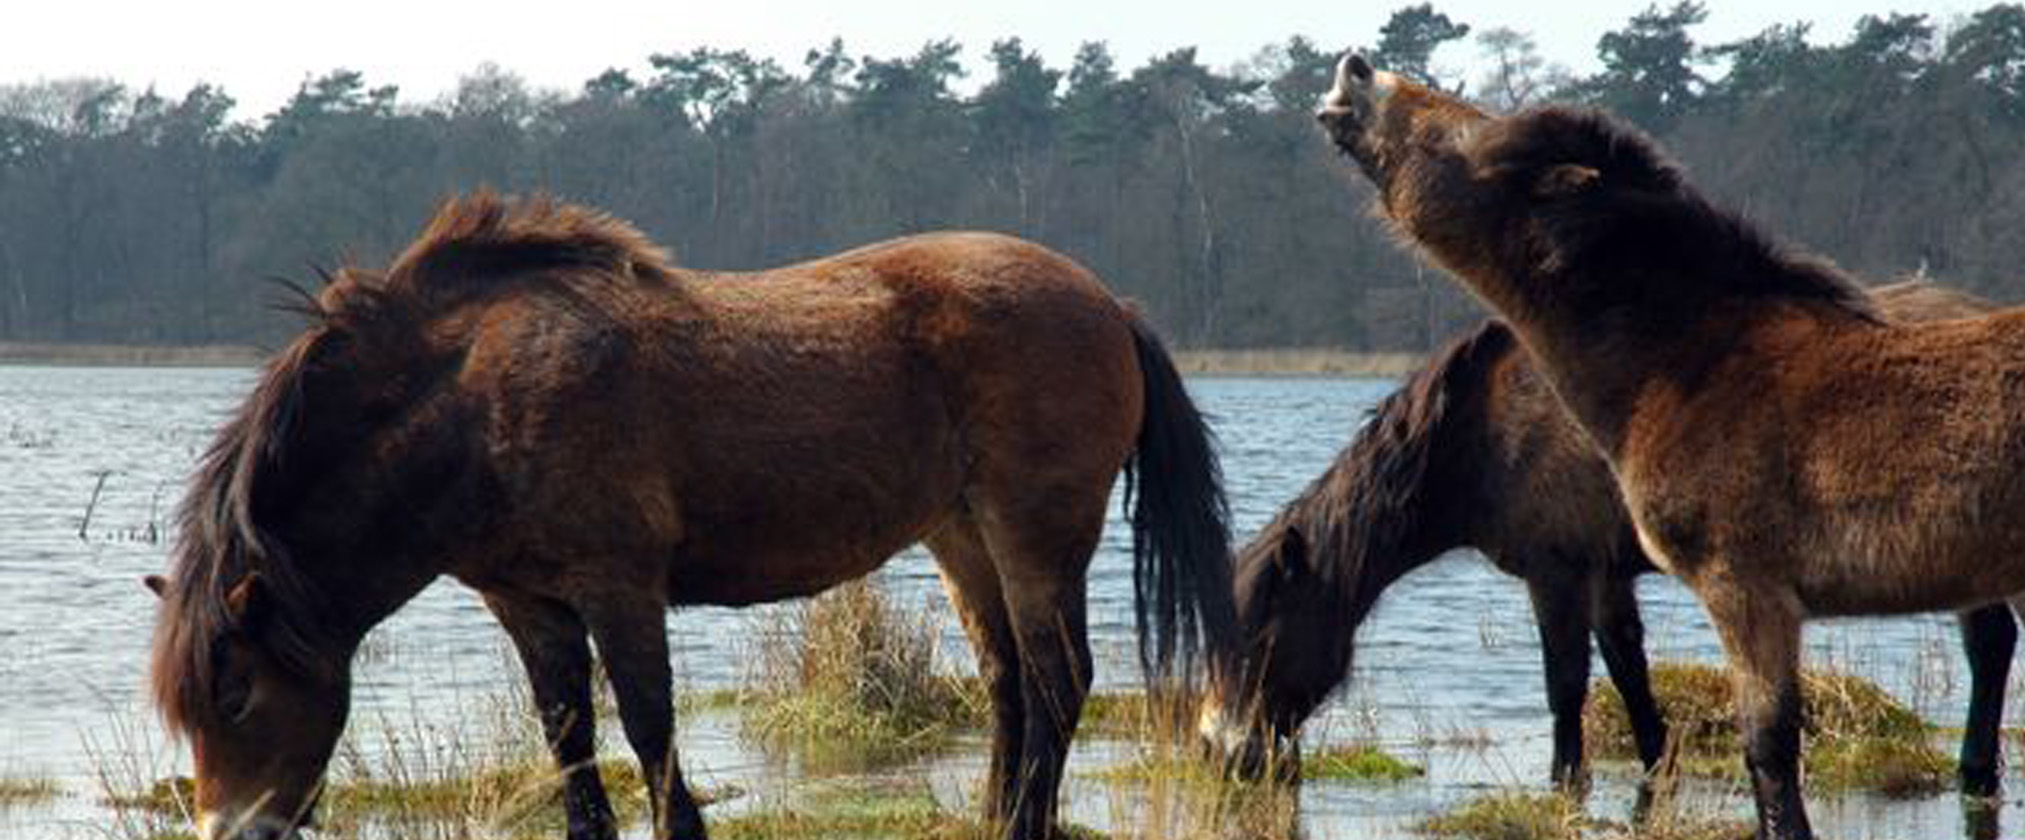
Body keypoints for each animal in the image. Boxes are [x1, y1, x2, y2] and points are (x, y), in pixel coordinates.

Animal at [142, 192, 1239, 840]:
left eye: (234, 694)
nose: (228, 831)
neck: (474, 404)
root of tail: (1109, 302)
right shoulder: (525, 602)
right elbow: (567, 733)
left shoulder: (619, 584)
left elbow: (648, 724)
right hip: (960, 533)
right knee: (1009, 682)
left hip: (1034, 531)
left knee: (1058, 680)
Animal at [1198, 281, 2025, 797]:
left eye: (1258, 638)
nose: (1218, 749)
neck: (1478, 432)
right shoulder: (1605, 570)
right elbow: (1627, 667)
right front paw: (1657, 760)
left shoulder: (1555, 570)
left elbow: (1565, 680)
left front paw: (1567, 777)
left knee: (1989, 644)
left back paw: (1973, 769)